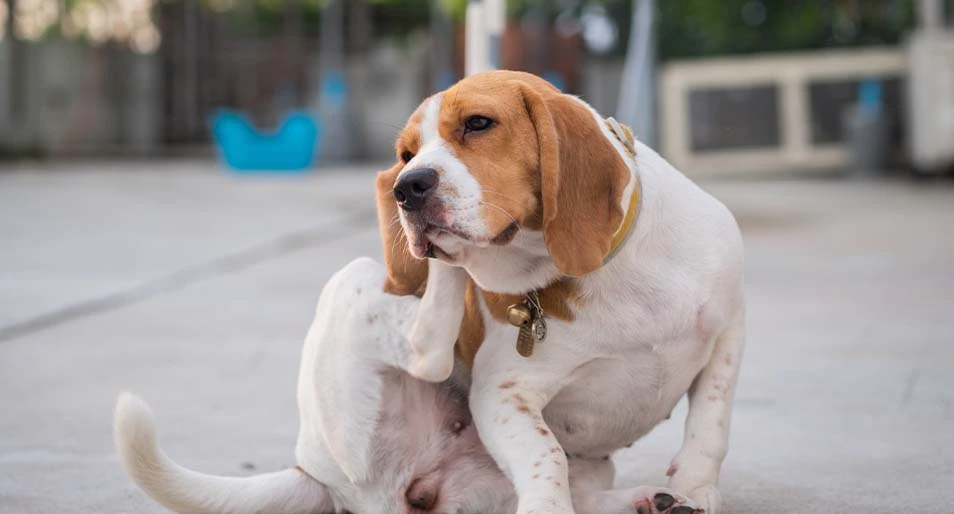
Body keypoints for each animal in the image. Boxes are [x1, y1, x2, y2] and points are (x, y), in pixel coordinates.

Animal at [374, 69, 744, 512]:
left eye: (477, 123)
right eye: (406, 154)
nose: (406, 187)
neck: (609, 270)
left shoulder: (728, 330)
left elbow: (712, 420)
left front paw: (695, 484)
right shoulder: (503, 392)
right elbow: (546, 454)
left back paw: (651, 500)